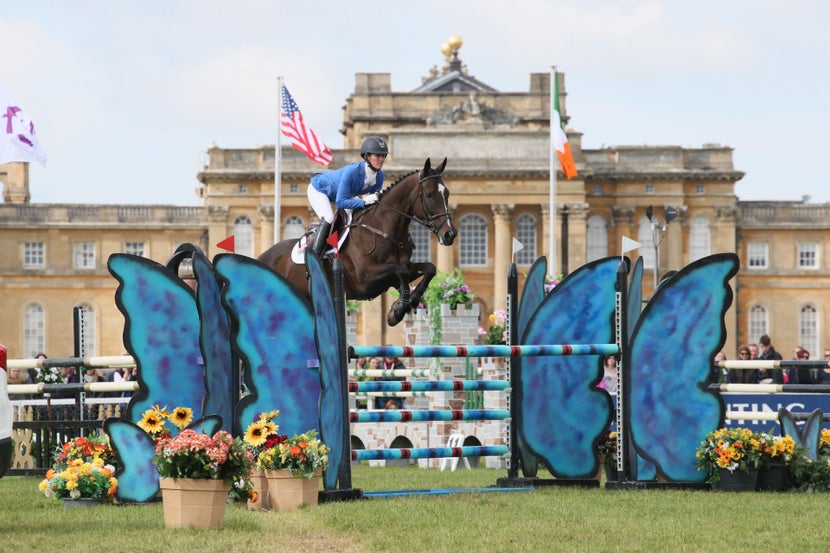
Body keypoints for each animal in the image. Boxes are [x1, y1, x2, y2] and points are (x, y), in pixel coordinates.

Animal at [258, 157, 458, 326]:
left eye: (447, 193)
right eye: (429, 194)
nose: (450, 234)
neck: (383, 228)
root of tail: (262, 257)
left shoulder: (396, 275)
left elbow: (428, 269)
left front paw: (405, 306)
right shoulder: (366, 279)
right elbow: (400, 269)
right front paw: (399, 308)